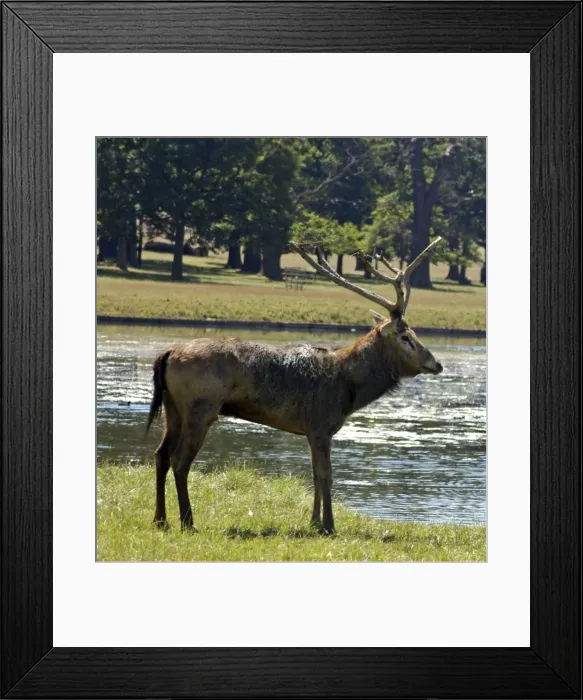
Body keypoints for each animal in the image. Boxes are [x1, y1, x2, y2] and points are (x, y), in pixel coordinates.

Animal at [145, 238, 444, 535]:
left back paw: (160, 519)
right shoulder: (320, 425)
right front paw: (329, 526)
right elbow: (326, 475)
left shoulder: (312, 431)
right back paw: (188, 522)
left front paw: (313, 523)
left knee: (161, 454)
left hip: (174, 408)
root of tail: (167, 354)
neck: (349, 388)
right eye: (406, 337)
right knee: (180, 460)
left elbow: (313, 474)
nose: (437, 363)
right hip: (201, 407)